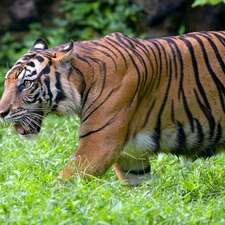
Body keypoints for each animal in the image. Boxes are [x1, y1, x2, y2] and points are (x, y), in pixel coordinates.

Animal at [0, 31, 225, 185]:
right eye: (6, 81)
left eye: (26, 84)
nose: (1, 113)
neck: (83, 79)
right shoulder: (131, 154)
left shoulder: (99, 145)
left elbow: (64, 183)